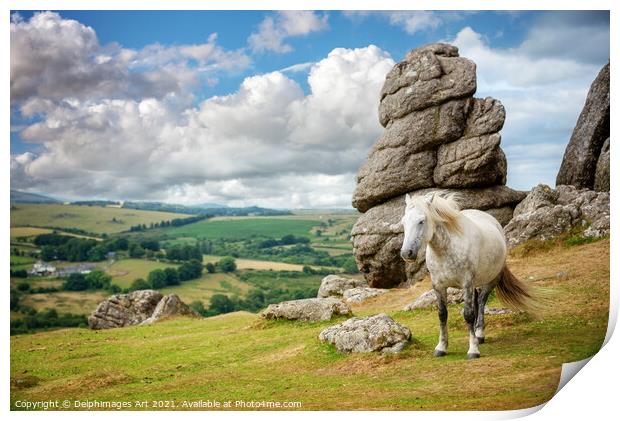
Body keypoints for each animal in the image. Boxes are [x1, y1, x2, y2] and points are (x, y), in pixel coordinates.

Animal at [402, 190, 532, 358]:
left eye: (421, 221)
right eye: (404, 222)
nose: (407, 253)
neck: (446, 249)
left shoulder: (467, 283)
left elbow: (468, 314)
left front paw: (473, 350)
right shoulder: (438, 286)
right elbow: (442, 314)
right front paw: (441, 347)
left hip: (490, 280)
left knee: (481, 301)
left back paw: (479, 334)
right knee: (478, 301)